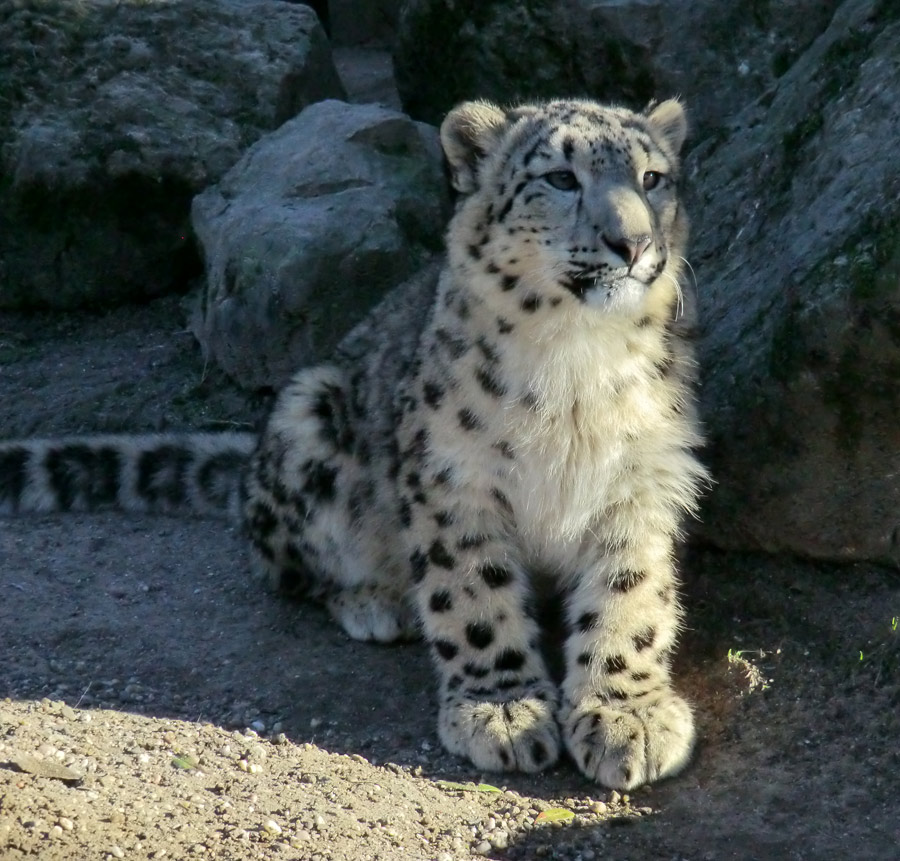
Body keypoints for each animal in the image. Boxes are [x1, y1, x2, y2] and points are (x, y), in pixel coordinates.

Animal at [3, 97, 712, 788]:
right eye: (561, 178)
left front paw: (629, 717)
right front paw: (503, 709)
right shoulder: (453, 479)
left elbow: (630, 595)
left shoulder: (640, 481)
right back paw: (376, 601)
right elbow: (473, 594)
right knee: (285, 567)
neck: (579, 364)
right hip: (308, 418)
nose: (632, 242)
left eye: (653, 178)